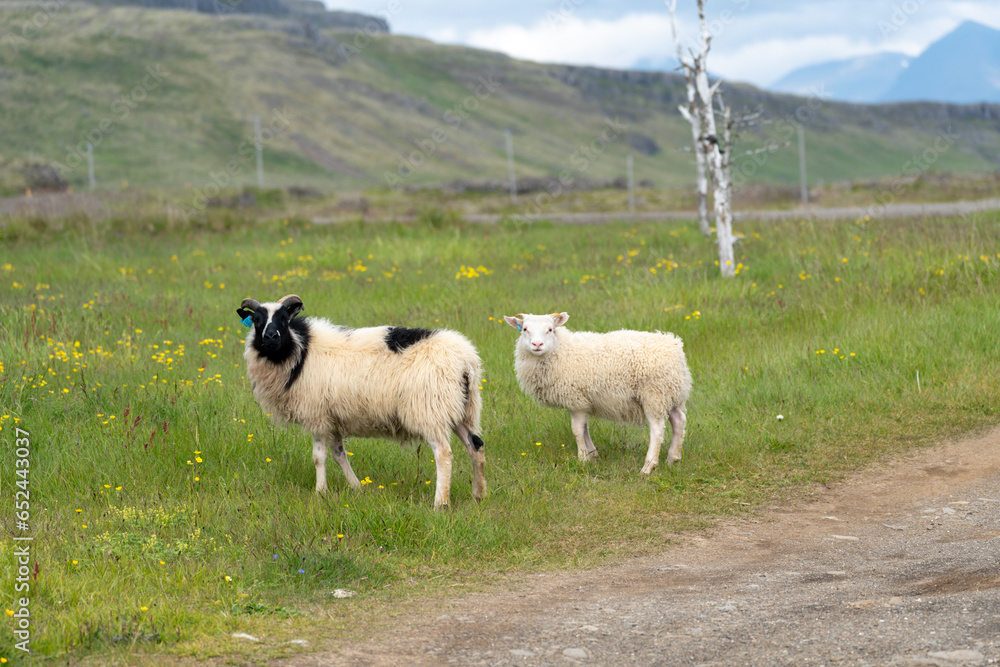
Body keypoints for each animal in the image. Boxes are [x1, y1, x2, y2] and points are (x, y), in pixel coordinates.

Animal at [238, 294, 486, 509]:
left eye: (284, 319)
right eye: (257, 321)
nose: (271, 337)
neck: (298, 351)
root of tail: (466, 361)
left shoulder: (317, 415)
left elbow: (319, 457)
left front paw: (321, 492)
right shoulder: (332, 418)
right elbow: (339, 454)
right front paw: (357, 487)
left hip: (430, 410)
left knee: (443, 454)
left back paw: (440, 503)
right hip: (462, 410)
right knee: (476, 446)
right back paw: (479, 495)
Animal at [503, 312, 692, 475]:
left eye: (550, 329)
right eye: (525, 329)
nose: (537, 345)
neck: (560, 350)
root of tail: (674, 346)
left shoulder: (576, 400)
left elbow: (577, 430)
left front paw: (582, 459)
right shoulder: (583, 402)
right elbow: (584, 429)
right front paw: (592, 455)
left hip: (654, 394)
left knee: (657, 429)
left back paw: (648, 467)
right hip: (671, 393)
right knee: (679, 421)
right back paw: (672, 458)